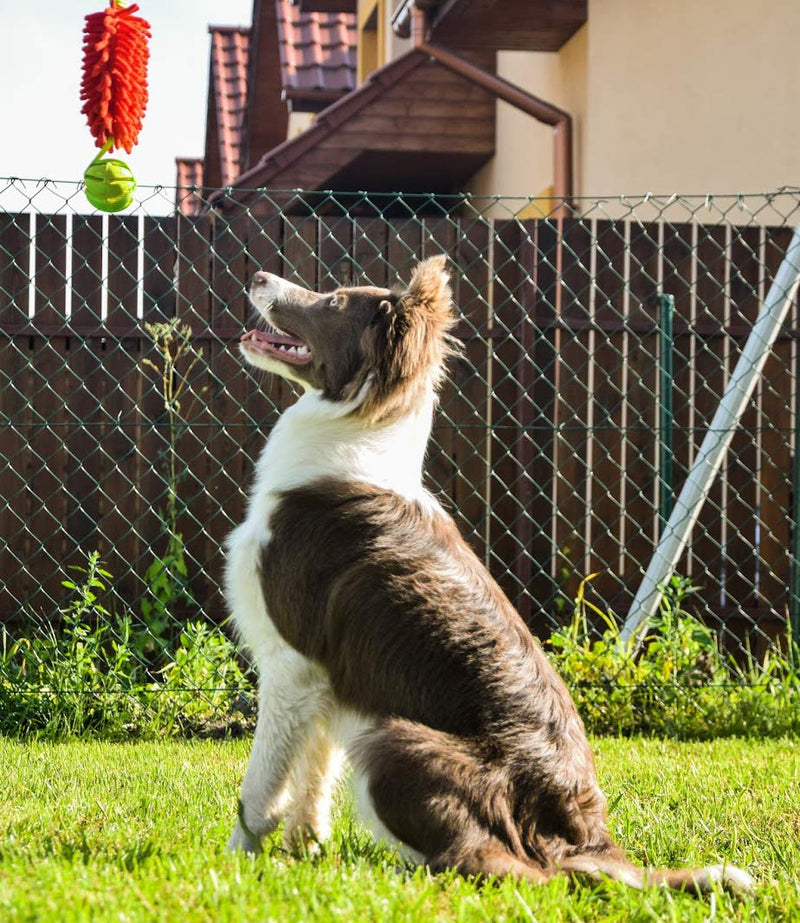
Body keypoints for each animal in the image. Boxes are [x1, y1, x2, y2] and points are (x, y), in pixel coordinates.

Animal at [223, 258, 752, 896]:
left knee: (503, 867)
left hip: (393, 740)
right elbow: (311, 779)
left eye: (335, 301)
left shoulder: (290, 664)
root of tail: (589, 838)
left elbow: (260, 790)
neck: (352, 435)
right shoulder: (324, 678)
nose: (257, 275)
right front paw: (302, 856)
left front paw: (232, 864)